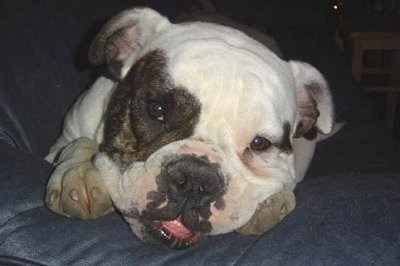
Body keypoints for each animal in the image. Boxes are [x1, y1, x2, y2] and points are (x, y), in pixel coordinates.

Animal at [45, 7, 334, 249]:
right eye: (157, 109)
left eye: (260, 143)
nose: (196, 178)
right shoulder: (62, 139)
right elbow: (78, 143)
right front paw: (77, 172)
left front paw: (273, 202)